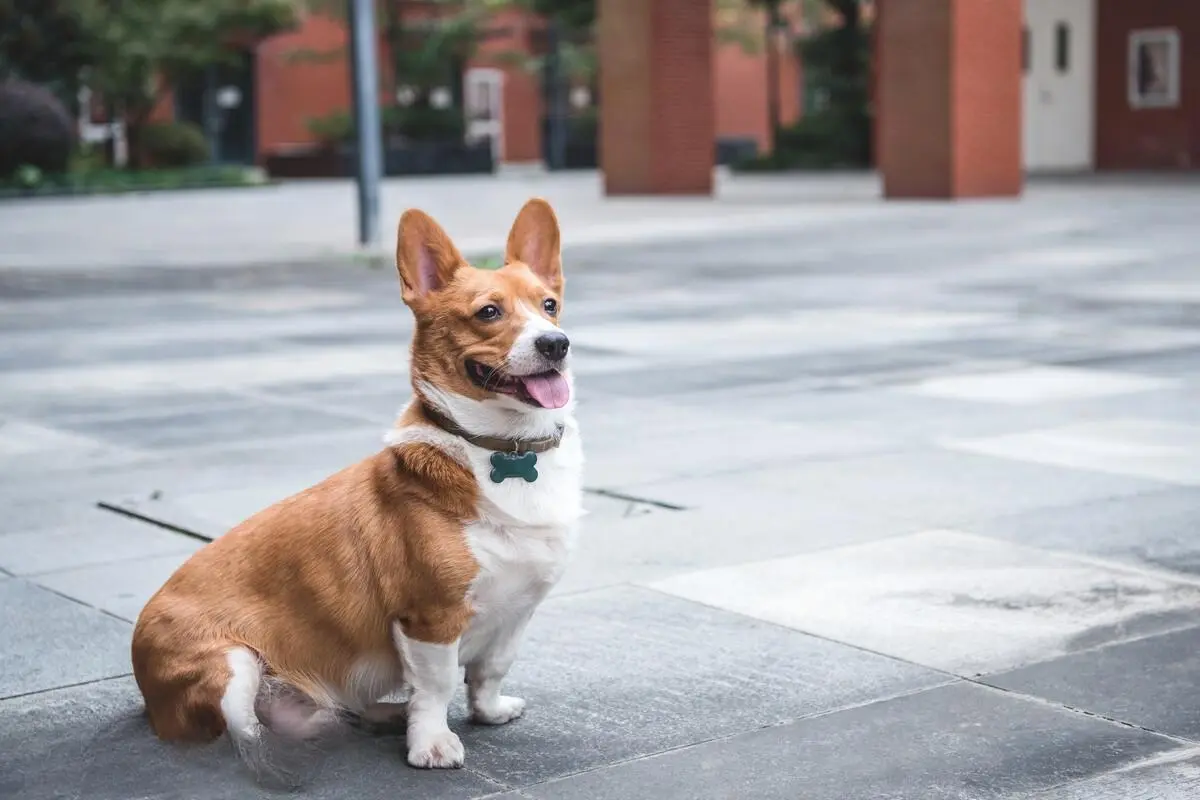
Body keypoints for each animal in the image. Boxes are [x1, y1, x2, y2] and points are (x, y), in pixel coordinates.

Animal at [131, 199, 580, 777]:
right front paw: (431, 743)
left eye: (550, 305)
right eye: (488, 313)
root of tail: (145, 694)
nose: (556, 343)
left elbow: (490, 669)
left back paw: (381, 713)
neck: (506, 447)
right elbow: (436, 686)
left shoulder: (517, 610)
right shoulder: (431, 617)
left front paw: (489, 711)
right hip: (233, 663)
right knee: (245, 729)